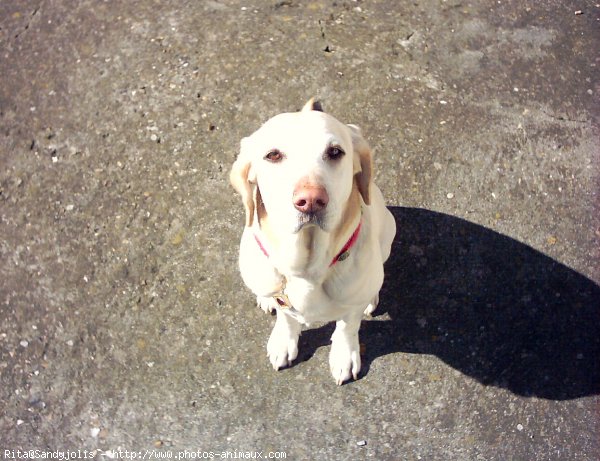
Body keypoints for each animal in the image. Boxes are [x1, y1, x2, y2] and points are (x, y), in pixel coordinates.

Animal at [232, 99, 396, 384]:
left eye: (335, 152)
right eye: (273, 155)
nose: (310, 200)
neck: (307, 268)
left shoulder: (350, 309)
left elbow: (346, 326)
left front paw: (344, 355)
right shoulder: (283, 297)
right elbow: (287, 317)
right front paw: (284, 341)